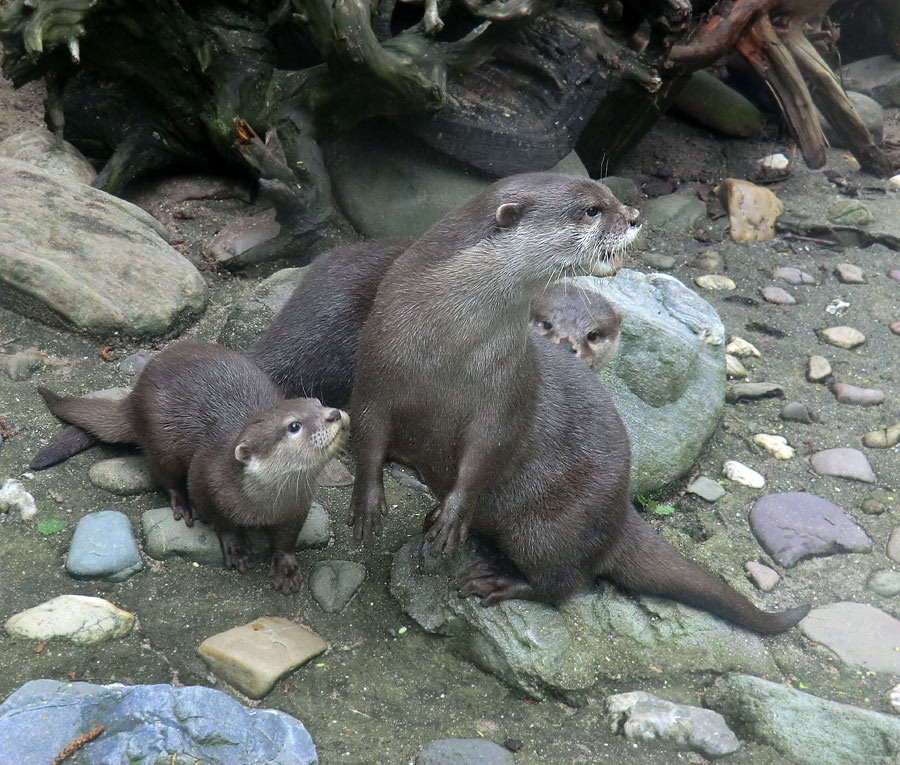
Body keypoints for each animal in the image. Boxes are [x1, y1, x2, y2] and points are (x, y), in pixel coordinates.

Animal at [38, 340, 348, 592]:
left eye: (318, 402)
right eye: (294, 426)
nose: (334, 414)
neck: (263, 504)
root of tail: (134, 395)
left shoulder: (297, 504)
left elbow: (286, 540)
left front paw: (285, 570)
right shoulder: (206, 479)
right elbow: (221, 522)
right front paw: (237, 551)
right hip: (160, 441)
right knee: (163, 475)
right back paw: (183, 506)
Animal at [346, 173, 808, 632]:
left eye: (610, 197)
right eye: (591, 210)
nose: (635, 216)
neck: (447, 347)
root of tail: (620, 513)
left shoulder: (507, 392)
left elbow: (488, 452)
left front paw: (453, 515)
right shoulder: (374, 371)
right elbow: (367, 435)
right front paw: (367, 504)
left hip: (551, 526)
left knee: (563, 580)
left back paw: (497, 579)